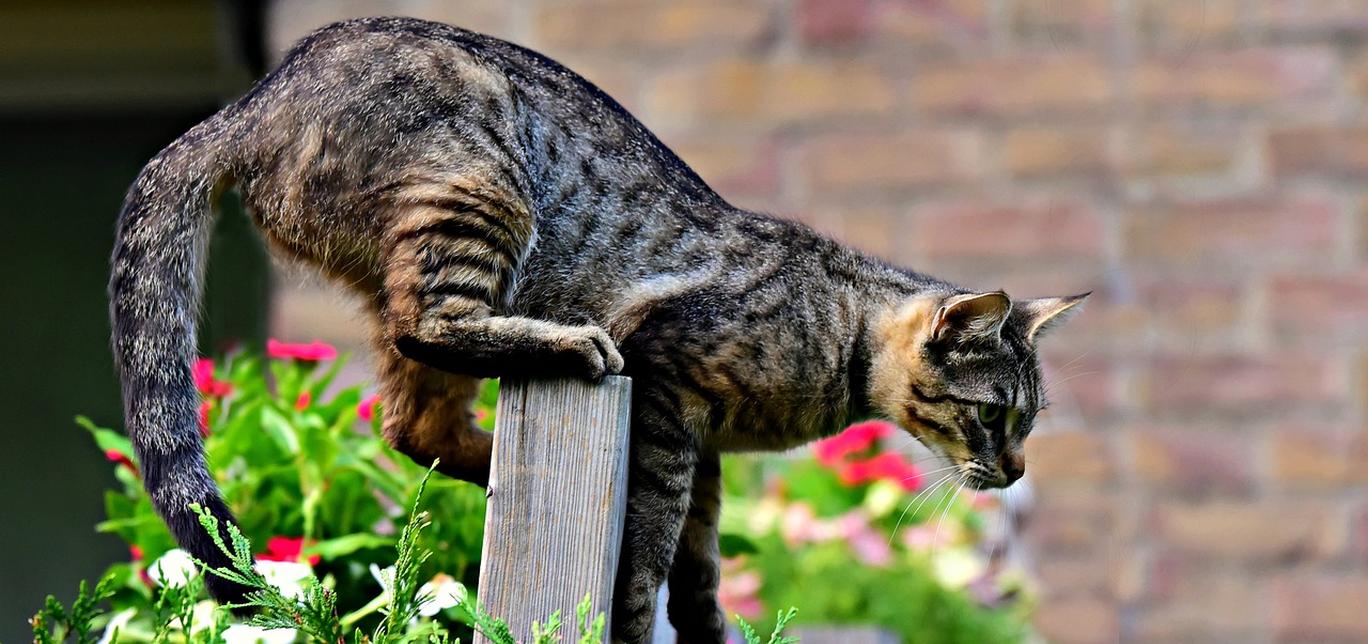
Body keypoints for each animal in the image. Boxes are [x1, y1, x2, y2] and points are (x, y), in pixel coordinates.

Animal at [109, 15, 1088, 644]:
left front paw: (707, 628)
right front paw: (637, 616)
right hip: (477, 193)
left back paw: (494, 467)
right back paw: (568, 349)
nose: (1015, 470)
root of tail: (251, 101)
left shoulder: (705, 448)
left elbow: (699, 563)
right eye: (994, 416)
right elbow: (652, 550)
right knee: (432, 329)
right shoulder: (668, 392)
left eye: (1027, 423)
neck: (837, 336)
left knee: (411, 424)